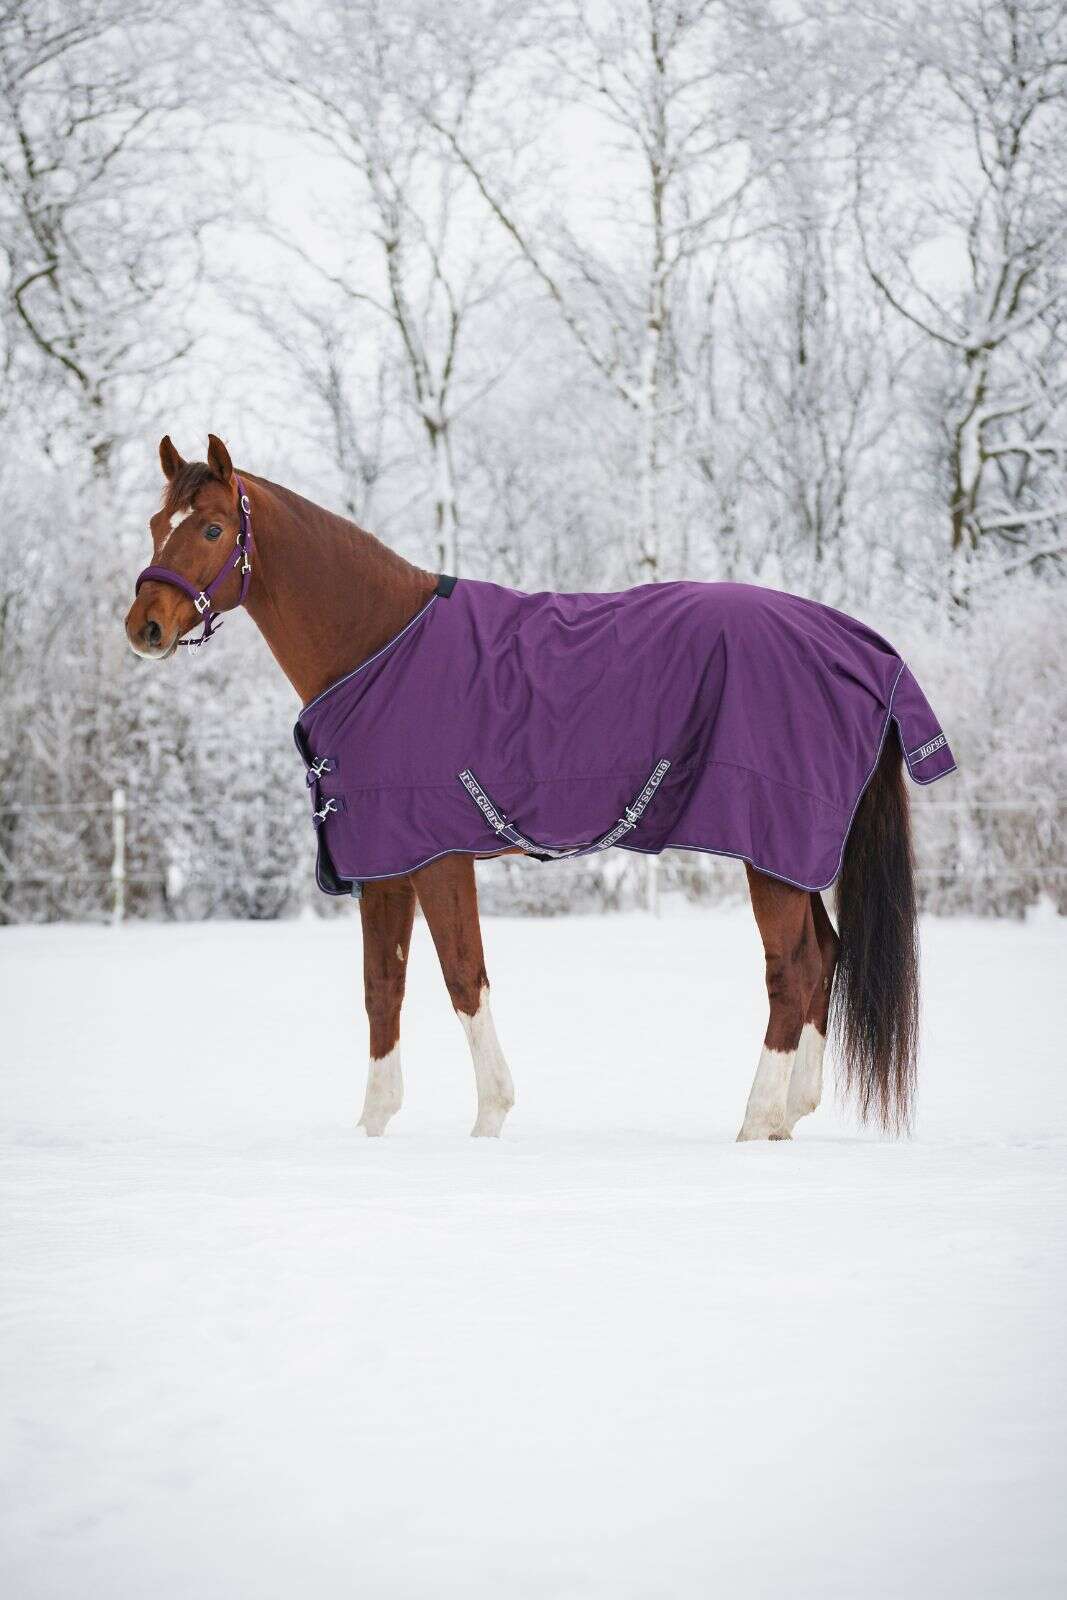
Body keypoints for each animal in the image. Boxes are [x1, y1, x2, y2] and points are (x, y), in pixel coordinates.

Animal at [125, 434, 954, 1141]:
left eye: (209, 530)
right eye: (156, 523)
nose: (144, 627)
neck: (377, 646)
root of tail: (861, 647)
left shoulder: (438, 858)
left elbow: (463, 979)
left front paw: (489, 1122)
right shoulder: (384, 865)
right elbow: (381, 989)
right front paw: (373, 1128)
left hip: (770, 847)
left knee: (795, 968)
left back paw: (754, 1125)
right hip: (790, 854)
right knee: (826, 954)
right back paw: (788, 1116)